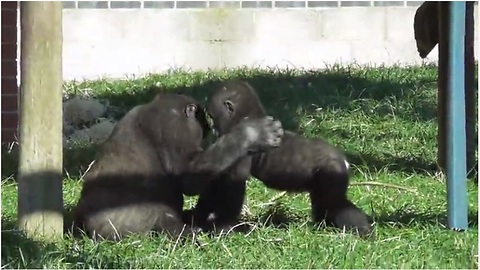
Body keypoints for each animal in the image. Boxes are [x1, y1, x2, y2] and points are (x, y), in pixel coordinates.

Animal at [72, 92, 284, 242]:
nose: (208, 129)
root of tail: (81, 227)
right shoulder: (174, 127)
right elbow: (190, 177)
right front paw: (251, 135)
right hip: (118, 229)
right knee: (159, 214)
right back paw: (186, 233)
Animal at [189, 80, 374, 236]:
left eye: (212, 116)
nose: (213, 130)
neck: (247, 115)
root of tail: (344, 161)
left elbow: (233, 181)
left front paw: (223, 226)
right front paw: (200, 217)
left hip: (333, 172)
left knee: (336, 204)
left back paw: (363, 229)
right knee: (326, 203)